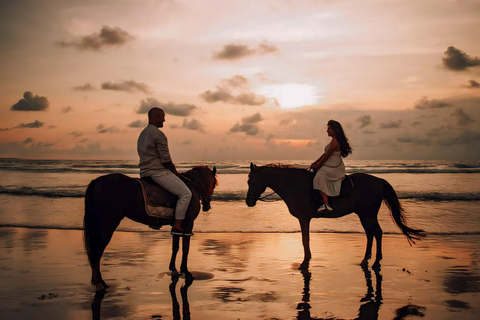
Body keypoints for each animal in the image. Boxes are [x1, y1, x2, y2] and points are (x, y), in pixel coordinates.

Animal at [83, 166, 217, 292]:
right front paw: (186, 271)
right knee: (97, 252)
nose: (207, 206)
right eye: (214, 185)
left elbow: (175, 247)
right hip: (107, 224)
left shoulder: (176, 226)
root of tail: (95, 182)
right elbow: (186, 248)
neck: (193, 186)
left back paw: (100, 282)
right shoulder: (189, 224)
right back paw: (99, 283)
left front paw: (173, 269)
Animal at [246, 162, 426, 270]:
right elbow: (306, 239)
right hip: (363, 214)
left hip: (368, 214)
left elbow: (305, 239)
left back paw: (375, 262)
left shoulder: (304, 218)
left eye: (251, 182)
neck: (294, 184)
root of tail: (378, 180)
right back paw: (365, 260)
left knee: (377, 233)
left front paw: (305, 262)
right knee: (370, 233)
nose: (249, 201)